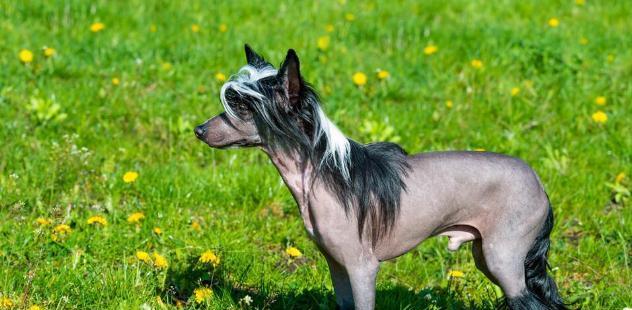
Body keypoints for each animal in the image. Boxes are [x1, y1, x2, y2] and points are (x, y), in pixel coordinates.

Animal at [195, 45, 564, 310]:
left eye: (242, 107)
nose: (198, 130)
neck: (321, 175)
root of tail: (539, 183)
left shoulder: (362, 268)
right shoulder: (338, 267)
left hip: (503, 257)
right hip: (486, 256)